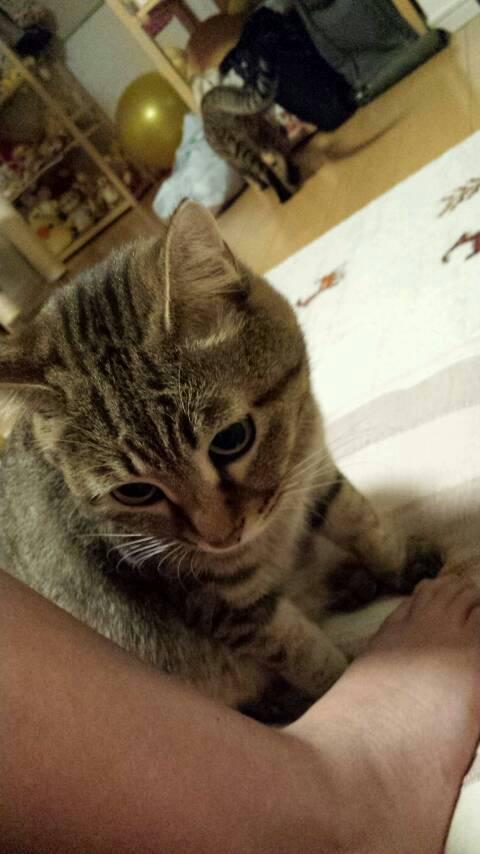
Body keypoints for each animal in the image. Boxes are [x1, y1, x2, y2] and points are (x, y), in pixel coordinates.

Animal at [0, 201, 441, 723]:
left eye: (231, 439)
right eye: (135, 491)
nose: (222, 538)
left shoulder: (314, 471)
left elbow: (361, 521)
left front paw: (400, 562)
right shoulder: (231, 610)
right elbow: (307, 656)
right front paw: (347, 682)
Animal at [201, 57, 300, 204]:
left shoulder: (237, 164)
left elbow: (252, 176)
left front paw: (261, 185)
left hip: (241, 150)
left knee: (267, 171)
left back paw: (283, 194)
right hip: (264, 137)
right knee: (281, 150)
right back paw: (291, 176)